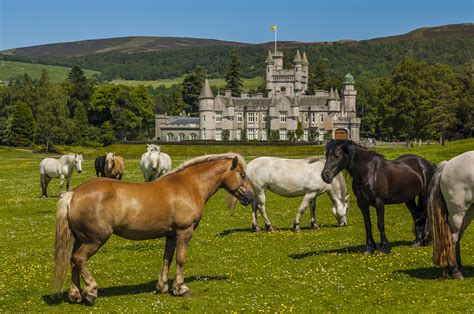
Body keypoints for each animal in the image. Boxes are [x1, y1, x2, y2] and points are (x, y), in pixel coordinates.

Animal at [52, 153, 256, 306]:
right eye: (243, 175)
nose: (251, 197)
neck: (189, 185)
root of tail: (73, 194)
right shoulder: (184, 231)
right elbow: (181, 259)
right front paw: (181, 288)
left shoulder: (171, 235)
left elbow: (167, 258)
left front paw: (163, 286)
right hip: (95, 239)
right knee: (79, 259)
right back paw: (91, 292)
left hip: (80, 239)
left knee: (73, 262)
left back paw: (75, 294)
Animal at [428, 150, 472, 280]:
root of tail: (447, 165)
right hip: (458, 213)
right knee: (453, 238)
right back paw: (456, 272)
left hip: (468, 213)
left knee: (458, 237)